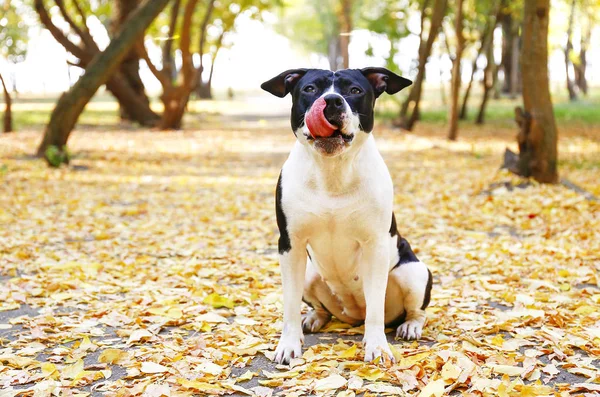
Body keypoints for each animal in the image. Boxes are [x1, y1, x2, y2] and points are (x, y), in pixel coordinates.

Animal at [262, 67, 432, 362]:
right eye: (309, 89)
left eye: (355, 90)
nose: (331, 101)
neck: (332, 171)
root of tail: (353, 316)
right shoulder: (290, 245)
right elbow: (289, 304)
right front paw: (288, 343)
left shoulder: (375, 245)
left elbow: (375, 307)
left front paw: (377, 346)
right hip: (309, 273)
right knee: (321, 307)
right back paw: (314, 318)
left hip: (413, 272)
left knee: (414, 310)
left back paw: (410, 326)